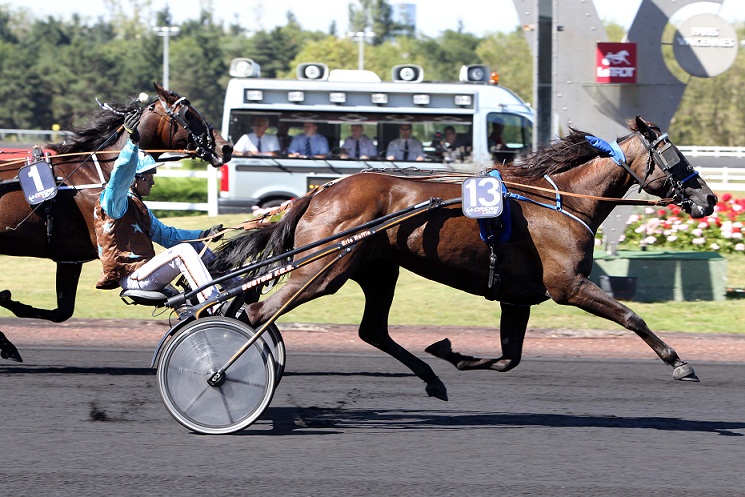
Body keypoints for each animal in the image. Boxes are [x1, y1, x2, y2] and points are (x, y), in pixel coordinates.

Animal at [0, 82, 231, 360]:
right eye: (189, 115)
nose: (225, 148)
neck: (97, 173)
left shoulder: (69, 258)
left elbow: (62, 312)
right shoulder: (77, 251)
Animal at [211, 116, 716, 400]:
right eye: (675, 156)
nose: (708, 198)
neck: (563, 202)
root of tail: (319, 191)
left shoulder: (518, 297)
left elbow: (509, 357)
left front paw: (449, 352)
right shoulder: (568, 287)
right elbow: (632, 317)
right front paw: (679, 362)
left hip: (377, 269)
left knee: (371, 330)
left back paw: (432, 378)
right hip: (325, 268)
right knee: (259, 311)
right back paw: (224, 370)